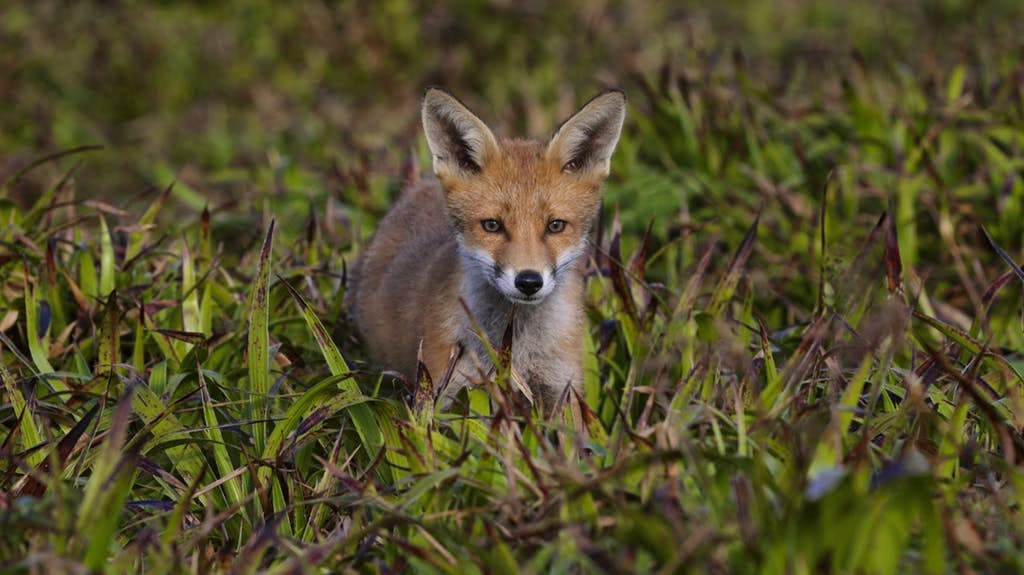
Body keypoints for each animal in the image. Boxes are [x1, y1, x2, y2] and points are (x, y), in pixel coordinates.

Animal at [350, 87, 622, 411]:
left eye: (555, 226)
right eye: (492, 225)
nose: (528, 281)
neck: (515, 348)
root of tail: (417, 186)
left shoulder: (562, 390)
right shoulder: (443, 393)